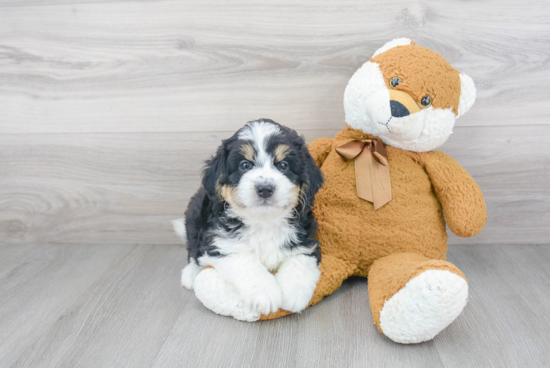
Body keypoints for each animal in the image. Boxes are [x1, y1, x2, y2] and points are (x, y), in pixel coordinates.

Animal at [179, 119, 326, 314]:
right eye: (245, 165)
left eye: (283, 165)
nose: (265, 189)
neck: (264, 223)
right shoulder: (222, 243)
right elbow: (246, 261)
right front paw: (265, 293)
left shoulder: (306, 240)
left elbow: (299, 260)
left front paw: (294, 294)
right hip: (193, 214)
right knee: (193, 249)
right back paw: (190, 274)